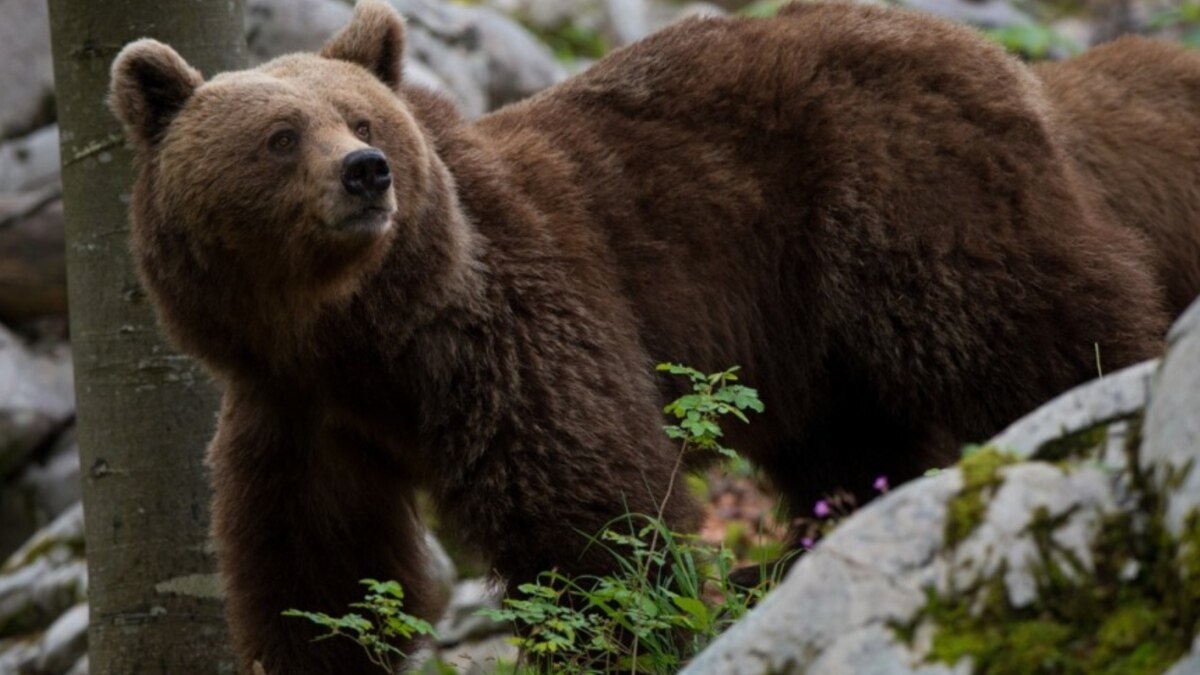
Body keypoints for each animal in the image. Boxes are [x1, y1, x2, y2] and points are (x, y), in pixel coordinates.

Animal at [110, 2, 1161, 667]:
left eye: (364, 116)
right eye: (282, 134)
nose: (368, 172)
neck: (356, 330)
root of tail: (1008, 61)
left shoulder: (506, 326)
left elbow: (591, 511)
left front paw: (629, 628)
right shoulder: (296, 414)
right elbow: (317, 571)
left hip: (910, 205)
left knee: (1037, 333)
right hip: (821, 344)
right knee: (854, 448)